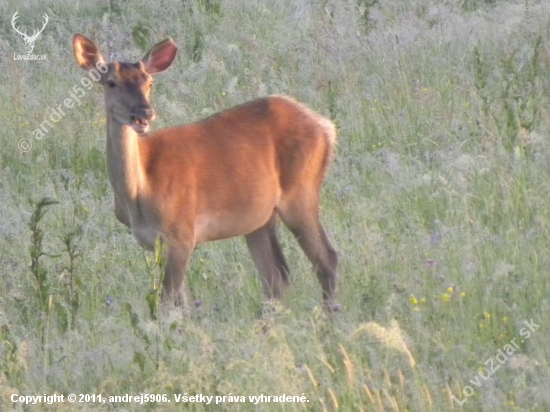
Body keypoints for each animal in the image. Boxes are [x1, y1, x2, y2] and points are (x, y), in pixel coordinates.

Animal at [73, 33, 340, 310]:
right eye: (111, 83)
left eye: (150, 82)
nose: (144, 113)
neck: (140, 190)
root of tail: (327, 127)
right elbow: (180, 303)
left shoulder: (181, 233)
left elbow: (168, 303)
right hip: (260, 217)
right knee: (276, 275)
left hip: (300, 191)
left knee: (326, 259)